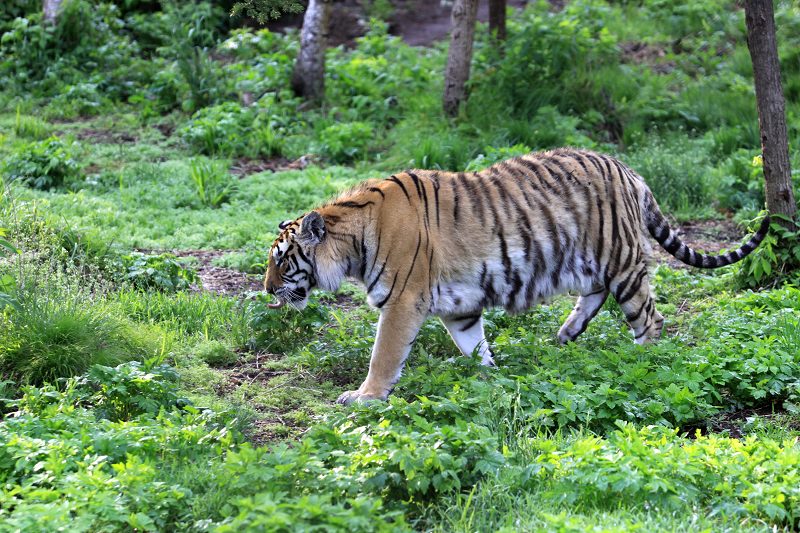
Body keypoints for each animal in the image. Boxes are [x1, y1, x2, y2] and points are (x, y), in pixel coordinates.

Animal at [266, 147, 772, 404]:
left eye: (282, 260)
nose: (267, 291)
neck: (352, 239)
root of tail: (631, 172)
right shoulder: (459, 308)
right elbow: (474, 346)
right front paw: (490, 379)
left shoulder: (402, 302)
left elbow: (384, 356)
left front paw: (363, 397)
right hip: (588, 261)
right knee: (594, 296)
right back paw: (564, 337)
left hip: (622, 258)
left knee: (649, 319)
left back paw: (641, 363)